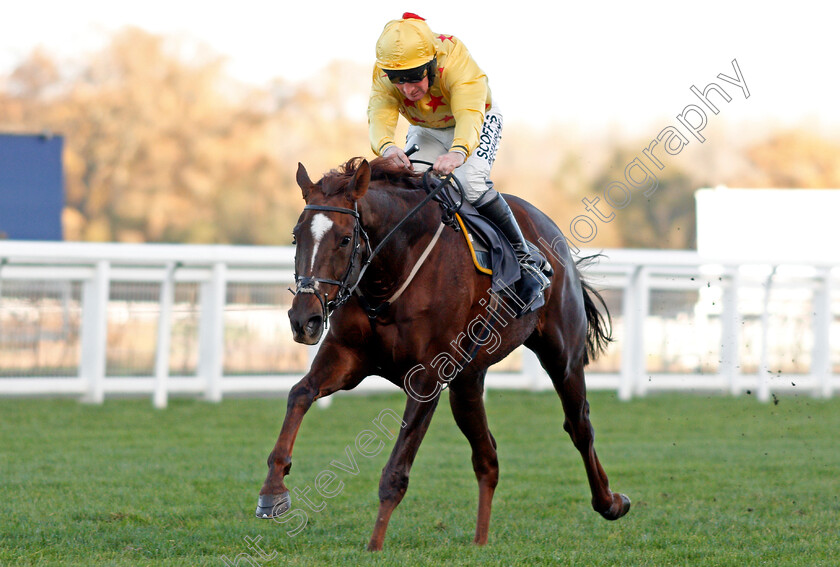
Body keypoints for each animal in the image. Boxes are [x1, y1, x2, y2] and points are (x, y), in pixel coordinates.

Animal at [256, 155, 632, 552]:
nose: (304, 319)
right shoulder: (346, 356)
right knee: (487, 457)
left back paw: (611, 503)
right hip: (467, 383)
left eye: (345, 239)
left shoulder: (427, 378)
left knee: (579, 426)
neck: (393, 272)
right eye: (296, 236)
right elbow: (300, 393)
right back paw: (480, 542)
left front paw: (374, 546)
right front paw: (273, 490)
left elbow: (396, 470)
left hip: (563, 357)